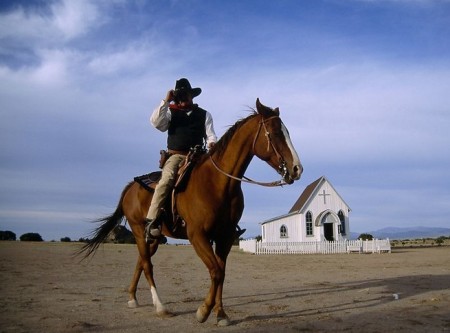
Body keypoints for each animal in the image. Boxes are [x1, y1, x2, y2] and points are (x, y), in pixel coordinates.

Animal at [78, 98, 302, 324]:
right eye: (275, 133)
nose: (297, 169)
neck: (218, 183)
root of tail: (130, 187)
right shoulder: (197, 235)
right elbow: (216, 271)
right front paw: (203, 311)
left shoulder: (225, 236)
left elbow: (221, 272)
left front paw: (220, 314)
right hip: (139, 230)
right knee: (148, 265)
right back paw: (160, 307)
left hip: (154, 238)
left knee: (141, 261)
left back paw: (133, 298)